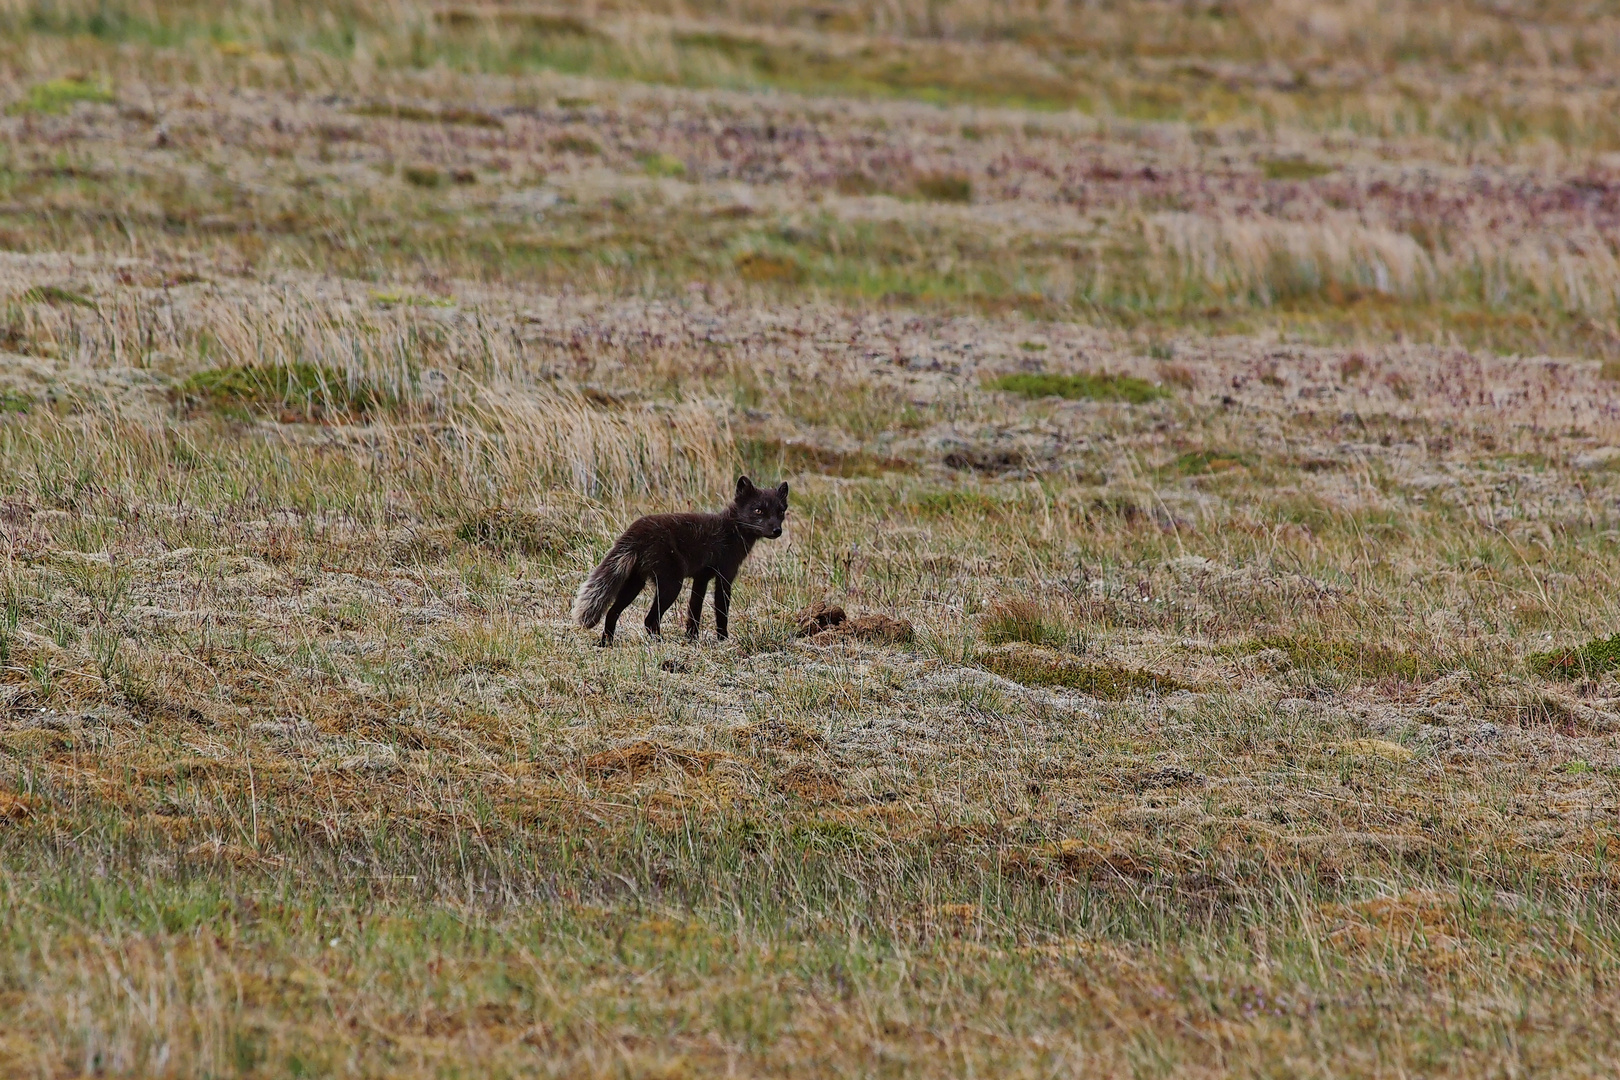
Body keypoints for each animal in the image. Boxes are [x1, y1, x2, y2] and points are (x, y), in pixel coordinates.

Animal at [576, 476, 790, 647]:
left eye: (781, 512)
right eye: (758, 510)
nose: (777, 531)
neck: (731, 530)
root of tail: (635, 531)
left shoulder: (701, 578)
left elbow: (694, 610)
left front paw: (692, 638)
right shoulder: (725, 576)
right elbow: (721, 611)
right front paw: (723, 639)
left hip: (635, 583)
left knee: (612, 612)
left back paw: (606, 644)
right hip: (672, 585)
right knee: (649, 620)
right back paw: (660, 643)